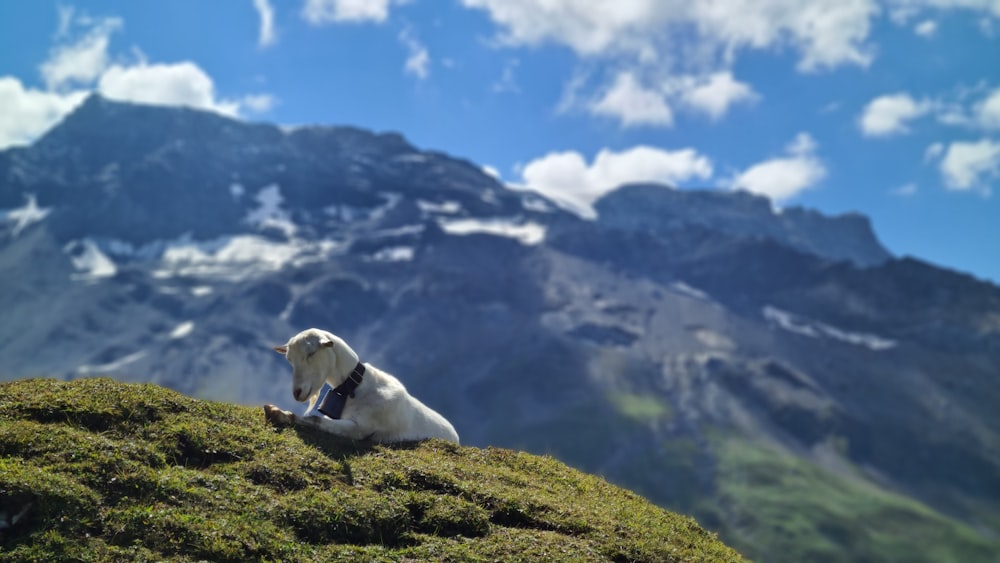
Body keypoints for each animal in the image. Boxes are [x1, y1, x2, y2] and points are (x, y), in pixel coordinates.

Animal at [260, 326, 458, 446]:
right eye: (289, 359)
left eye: (311, 353)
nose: (297, 392)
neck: (356, 388)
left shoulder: (360, 428)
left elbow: (315, 419)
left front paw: (277, 412)